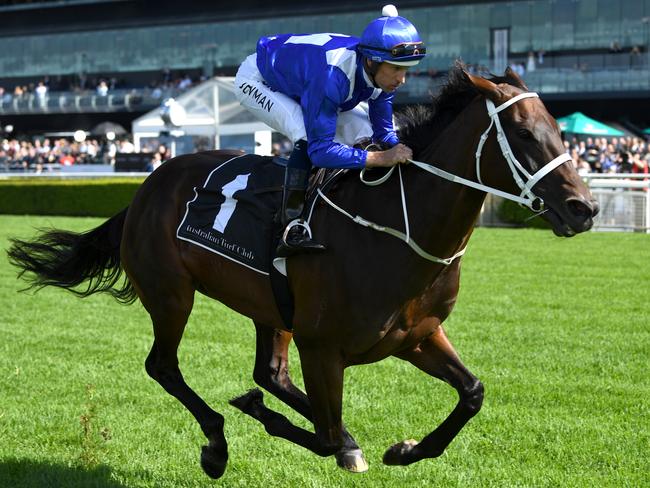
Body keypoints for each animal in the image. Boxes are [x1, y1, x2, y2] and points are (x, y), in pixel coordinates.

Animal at [8, 66, 596, 478]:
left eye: (558, 129)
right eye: (523, 133)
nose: (584, 208)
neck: (396, 229)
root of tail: (146, 187)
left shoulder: (416, 335)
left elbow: (472, 392)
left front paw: (405, 449)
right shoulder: (323, 347)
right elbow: (331, 435)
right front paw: (287, 425)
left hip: (270, 307)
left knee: (269, 372)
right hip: (172, 295)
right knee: (164, 366)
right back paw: (217, 443)